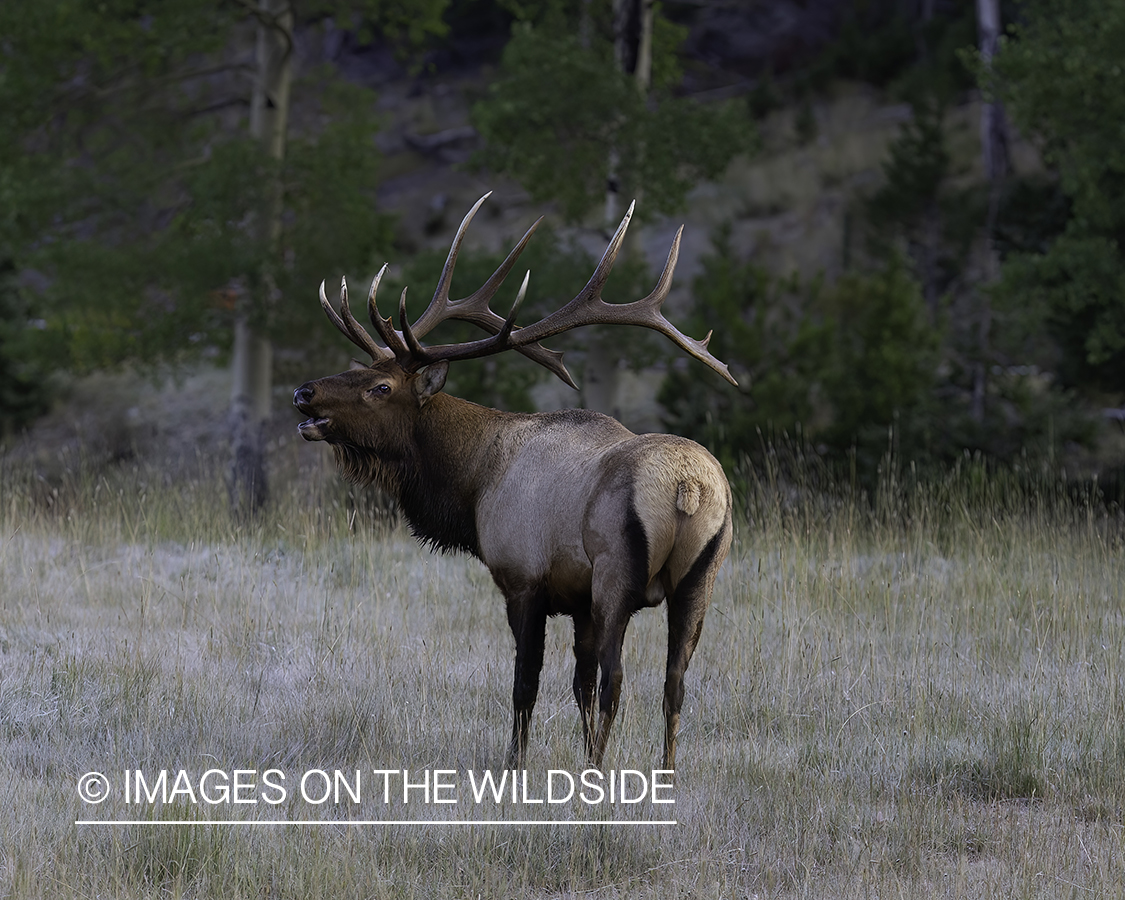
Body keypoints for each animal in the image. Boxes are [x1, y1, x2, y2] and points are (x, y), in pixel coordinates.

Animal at [292, 193, 729, 769]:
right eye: (357, 368)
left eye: (380, 386)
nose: (304, 393)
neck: (475, 482)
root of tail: (688, 488)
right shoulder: (577, 598)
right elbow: (578, 684)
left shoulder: (523, 578)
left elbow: (527, 684)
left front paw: (514, 765)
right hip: (700, 579)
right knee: (674, 683)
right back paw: (664, 775)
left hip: (616, 574)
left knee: (617, 680)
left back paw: (601, 772)